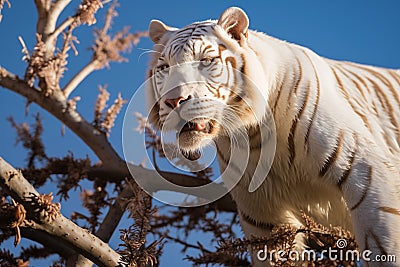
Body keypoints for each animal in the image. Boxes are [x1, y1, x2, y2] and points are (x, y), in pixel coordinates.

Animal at [146, 6, 400, 267]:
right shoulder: (264, 216)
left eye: (205, 61)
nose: (174, 100)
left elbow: (382, 247)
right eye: (165, 68)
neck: (254, 135)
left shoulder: (368, 174)